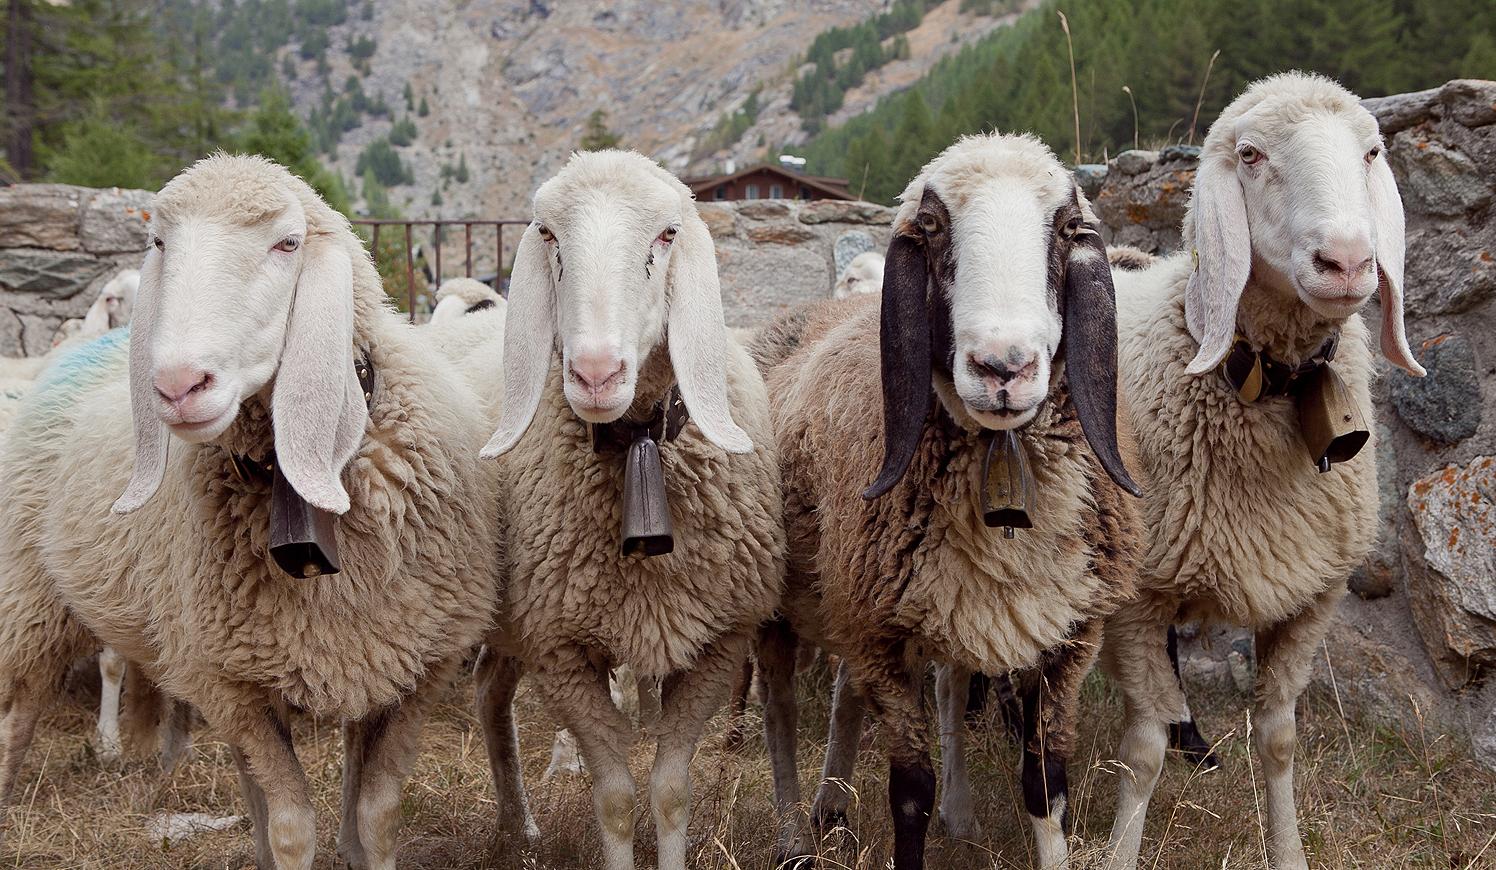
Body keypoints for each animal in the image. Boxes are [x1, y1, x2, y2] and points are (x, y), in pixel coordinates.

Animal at [0, 156, 535, 870]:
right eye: (160, 242)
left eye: (287, 243)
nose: (176, 385)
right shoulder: (239, 685)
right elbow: (291, 829)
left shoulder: (408, 668)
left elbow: (376, 816)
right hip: (38, 595)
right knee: (20, 709)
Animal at [478, 151, 789, 870]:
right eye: (549, 236)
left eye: (667, 235)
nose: (596, 374)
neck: (637, 446)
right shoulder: (561, 649)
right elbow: (616, 798)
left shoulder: (719, 642)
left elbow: (671, 791)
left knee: (489, 690)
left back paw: (516, 823)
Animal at [765, 131, 1136, 870]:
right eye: (933, 227)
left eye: (1065, 228)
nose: (1003, 368)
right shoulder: (882, 635)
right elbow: (910, 792)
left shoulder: (1066, 633)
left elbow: (1045, 782)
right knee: (780, 713)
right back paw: (794, 833)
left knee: (848, 698)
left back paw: (834, 807)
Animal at [1107, 73, 1418, 870]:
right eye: (1249, 155)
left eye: (1372, 152)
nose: (1347, 262)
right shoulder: (1136, 600)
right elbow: (1141, 752)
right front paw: (1120, 850)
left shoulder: (1312, 596)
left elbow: (1279, 740)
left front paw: (1288, 851)